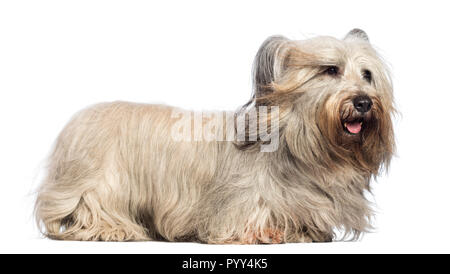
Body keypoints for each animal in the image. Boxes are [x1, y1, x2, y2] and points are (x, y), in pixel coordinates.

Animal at [34, 28, 394, 243]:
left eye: (367, 75)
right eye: (331, 70)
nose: (363, 102)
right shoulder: (241, 208)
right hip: (97, 184)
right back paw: (114, 229)